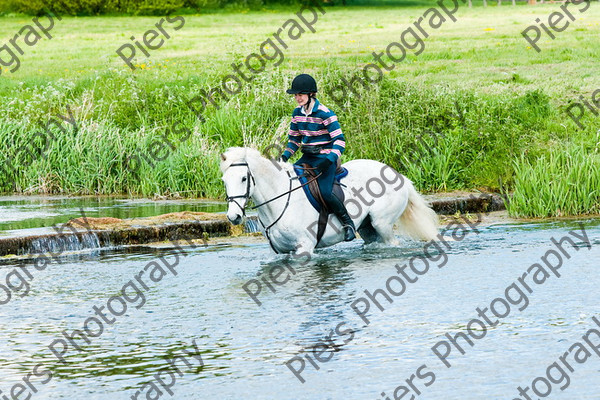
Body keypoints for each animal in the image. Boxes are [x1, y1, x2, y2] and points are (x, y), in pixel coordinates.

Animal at [219, 147, 436, 253]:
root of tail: (400, 177)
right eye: (224, 181)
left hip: (382, 223)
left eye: (244, 178)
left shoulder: (304, 247)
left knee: (393, 243)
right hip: (368, 228)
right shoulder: (280, 252)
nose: (233, 217)